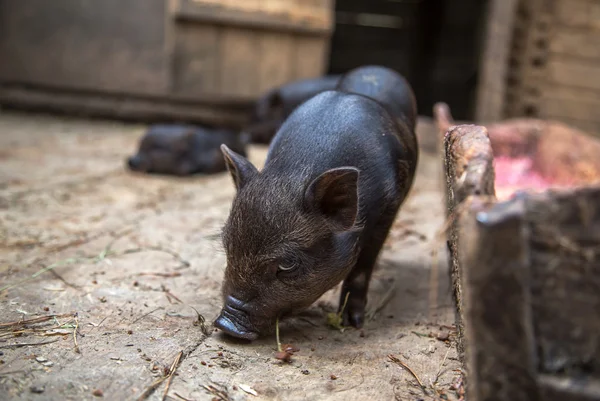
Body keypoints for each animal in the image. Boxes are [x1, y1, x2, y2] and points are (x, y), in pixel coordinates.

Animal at [214, 65, 418, 338]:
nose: (226, 324)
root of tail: (378, 69)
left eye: (287, 264)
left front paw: (352, 323)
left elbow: (362, 268)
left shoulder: (388, 208)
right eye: (228, 246)